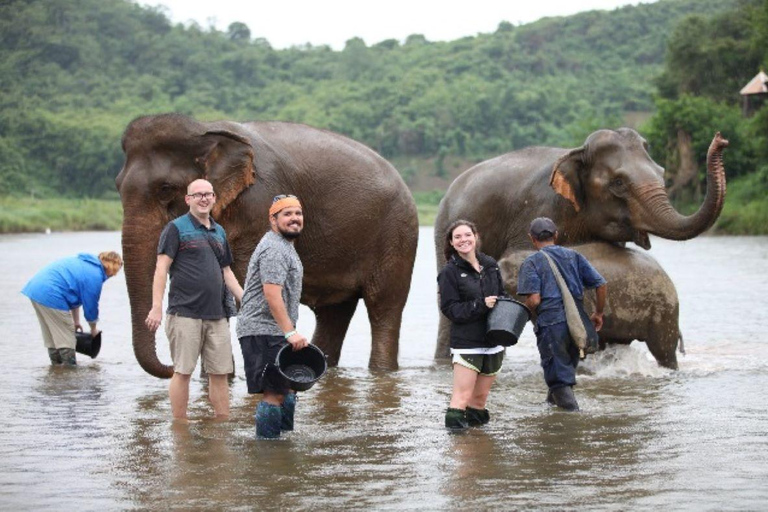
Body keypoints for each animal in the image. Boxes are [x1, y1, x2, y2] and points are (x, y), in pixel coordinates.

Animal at [116, 113, 418, 378]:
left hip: (397, 233)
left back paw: (381, 370)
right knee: (334, 313)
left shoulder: (259, 202)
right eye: (117, 187)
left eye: (165, 189)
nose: (170, 368)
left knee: (383, 306)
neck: (204, 129)